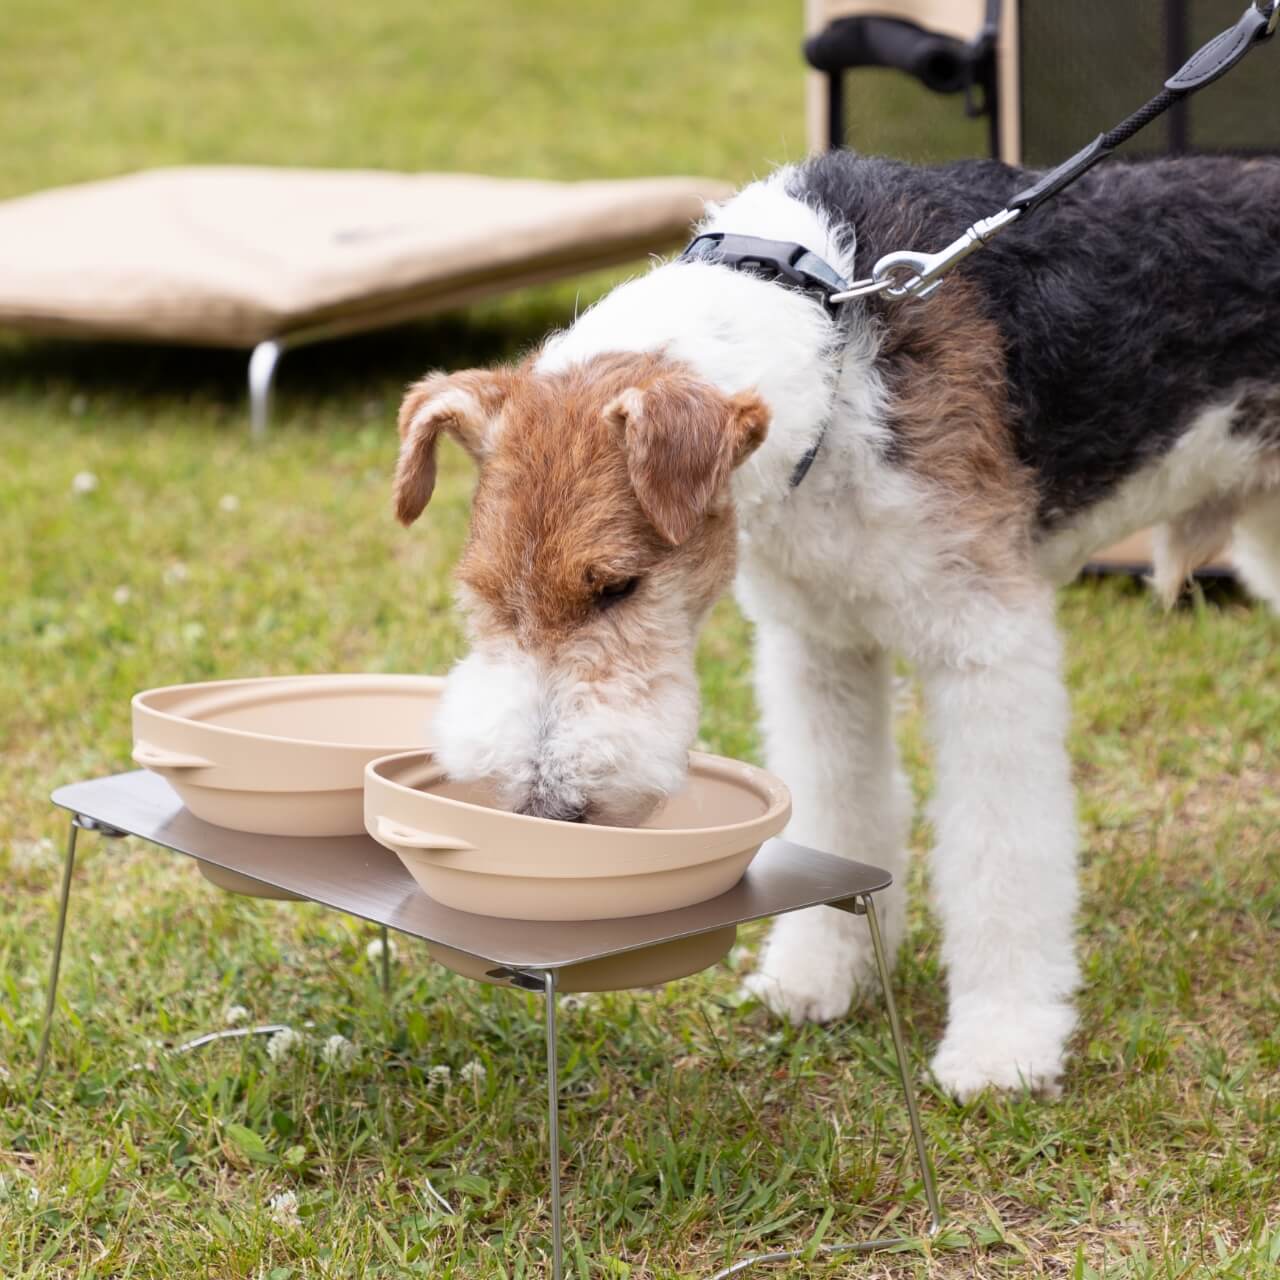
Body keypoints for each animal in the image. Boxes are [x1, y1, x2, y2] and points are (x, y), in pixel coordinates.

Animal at [391, 147, 1280, 1090]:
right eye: (486, 594)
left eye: (618, 588)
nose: (547, 808)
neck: (828, 341)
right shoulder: (817, 642)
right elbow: (836, 803)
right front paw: (817, 977)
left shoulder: (985, 642)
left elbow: (999, 849)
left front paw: (1001, 1047)